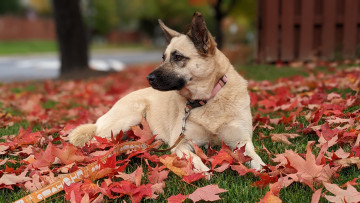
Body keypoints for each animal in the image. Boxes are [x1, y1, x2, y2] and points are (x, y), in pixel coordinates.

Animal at [69, 12, 264, 171]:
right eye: (163, 57)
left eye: (177, 57)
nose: (148, 77)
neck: (208, 100)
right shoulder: (180, 143)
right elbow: (192, 157)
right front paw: (202, 169)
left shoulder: (242, 140)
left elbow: (253, 156)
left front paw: (263, 168)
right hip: (128, 118)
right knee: (95, 140)